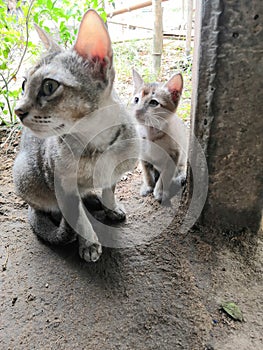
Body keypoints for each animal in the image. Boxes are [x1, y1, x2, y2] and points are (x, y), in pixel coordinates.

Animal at [12, 10, 138, 262]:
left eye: (49, 86)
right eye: (24, 84)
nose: (18, 110)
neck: (95, 146)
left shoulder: (114, 173)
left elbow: (109, 190)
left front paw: (111, 206)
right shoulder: (61, 183)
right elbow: (77, 217)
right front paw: (88, 242)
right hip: (25, 174)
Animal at [131, 69, 189, 204]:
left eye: (153, 102)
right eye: (136, 99)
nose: (137, 111)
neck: (150, 134)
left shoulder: (174, 154)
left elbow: (166, 174)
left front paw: (160, 191)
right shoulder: (143, 153)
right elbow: (146, 171)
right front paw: (148, 185)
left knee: (182, 166)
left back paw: (180, 176)